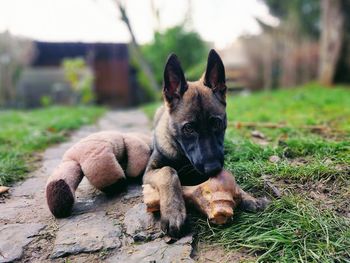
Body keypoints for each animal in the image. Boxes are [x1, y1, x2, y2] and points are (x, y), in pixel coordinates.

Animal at [143, 50, 268, 239]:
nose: (213, 168)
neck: (182, 155)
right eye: (188, 129)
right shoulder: (150, 171)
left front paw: (247, 197)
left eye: (217, 123)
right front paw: (173, 211)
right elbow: (168, 171)